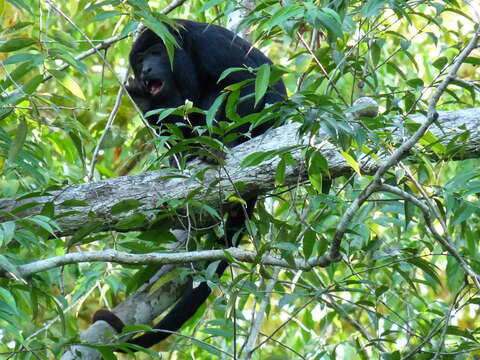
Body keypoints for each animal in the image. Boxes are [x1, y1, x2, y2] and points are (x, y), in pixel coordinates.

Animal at [94, 19, 284, 352]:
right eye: (139, 61)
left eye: (156, 52)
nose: (145, 70)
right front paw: (144, 99)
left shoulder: (210, 45)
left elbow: (252, 81)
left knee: (224, 93)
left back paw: (217, 147)